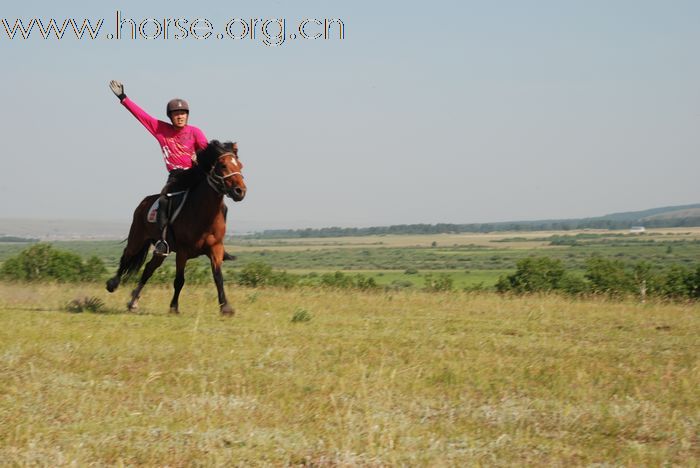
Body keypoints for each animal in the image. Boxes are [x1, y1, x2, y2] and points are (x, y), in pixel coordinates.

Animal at [104, 139, 246, 314]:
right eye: (223, 166)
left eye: (240, 165)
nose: (240, 191)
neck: (202, 213)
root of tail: (144, 202)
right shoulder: (183, 251)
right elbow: (179, 280)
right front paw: (174, 307)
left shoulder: (216, 248)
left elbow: (218, 277)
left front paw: (225, 307)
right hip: (137, 238)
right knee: (127, 256)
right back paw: (112, 285)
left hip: (161, 250)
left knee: (148, 269)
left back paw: (133, 302)